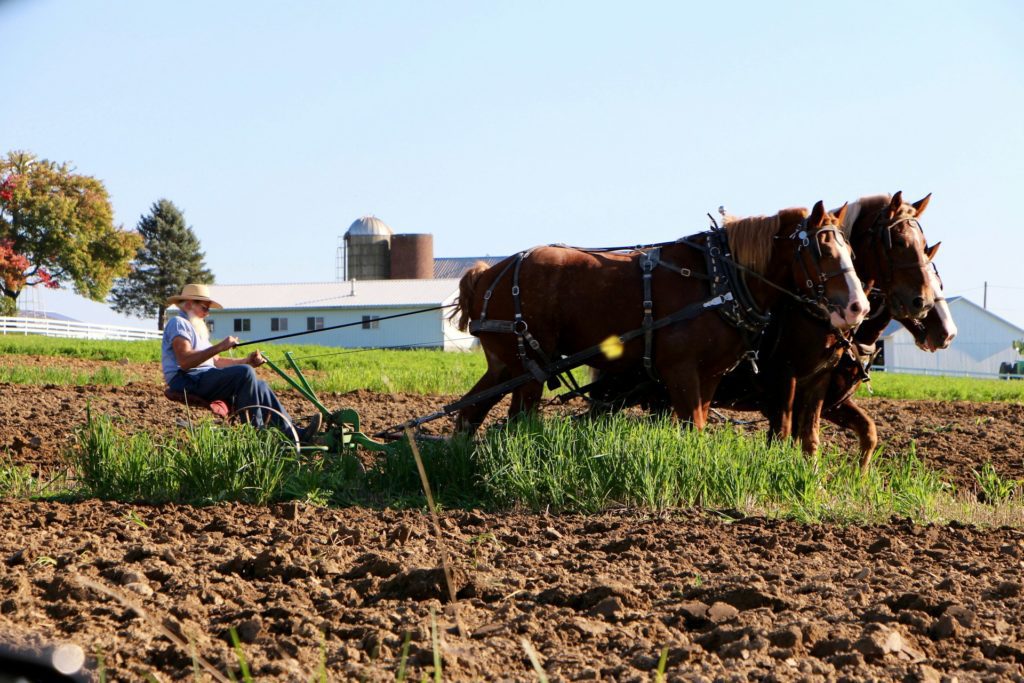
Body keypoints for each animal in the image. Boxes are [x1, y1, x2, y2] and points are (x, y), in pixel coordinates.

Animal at [452, 201, 869, 434]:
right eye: (821, 249)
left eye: (850, 249)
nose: (858, 307)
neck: (717, 278)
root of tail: (486, 275)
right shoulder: (680, 371)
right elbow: (692, 427)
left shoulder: (710, 375)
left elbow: (697, 424)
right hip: (527, 368)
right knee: (514, 418)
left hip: (504, 365)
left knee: (471, 410)